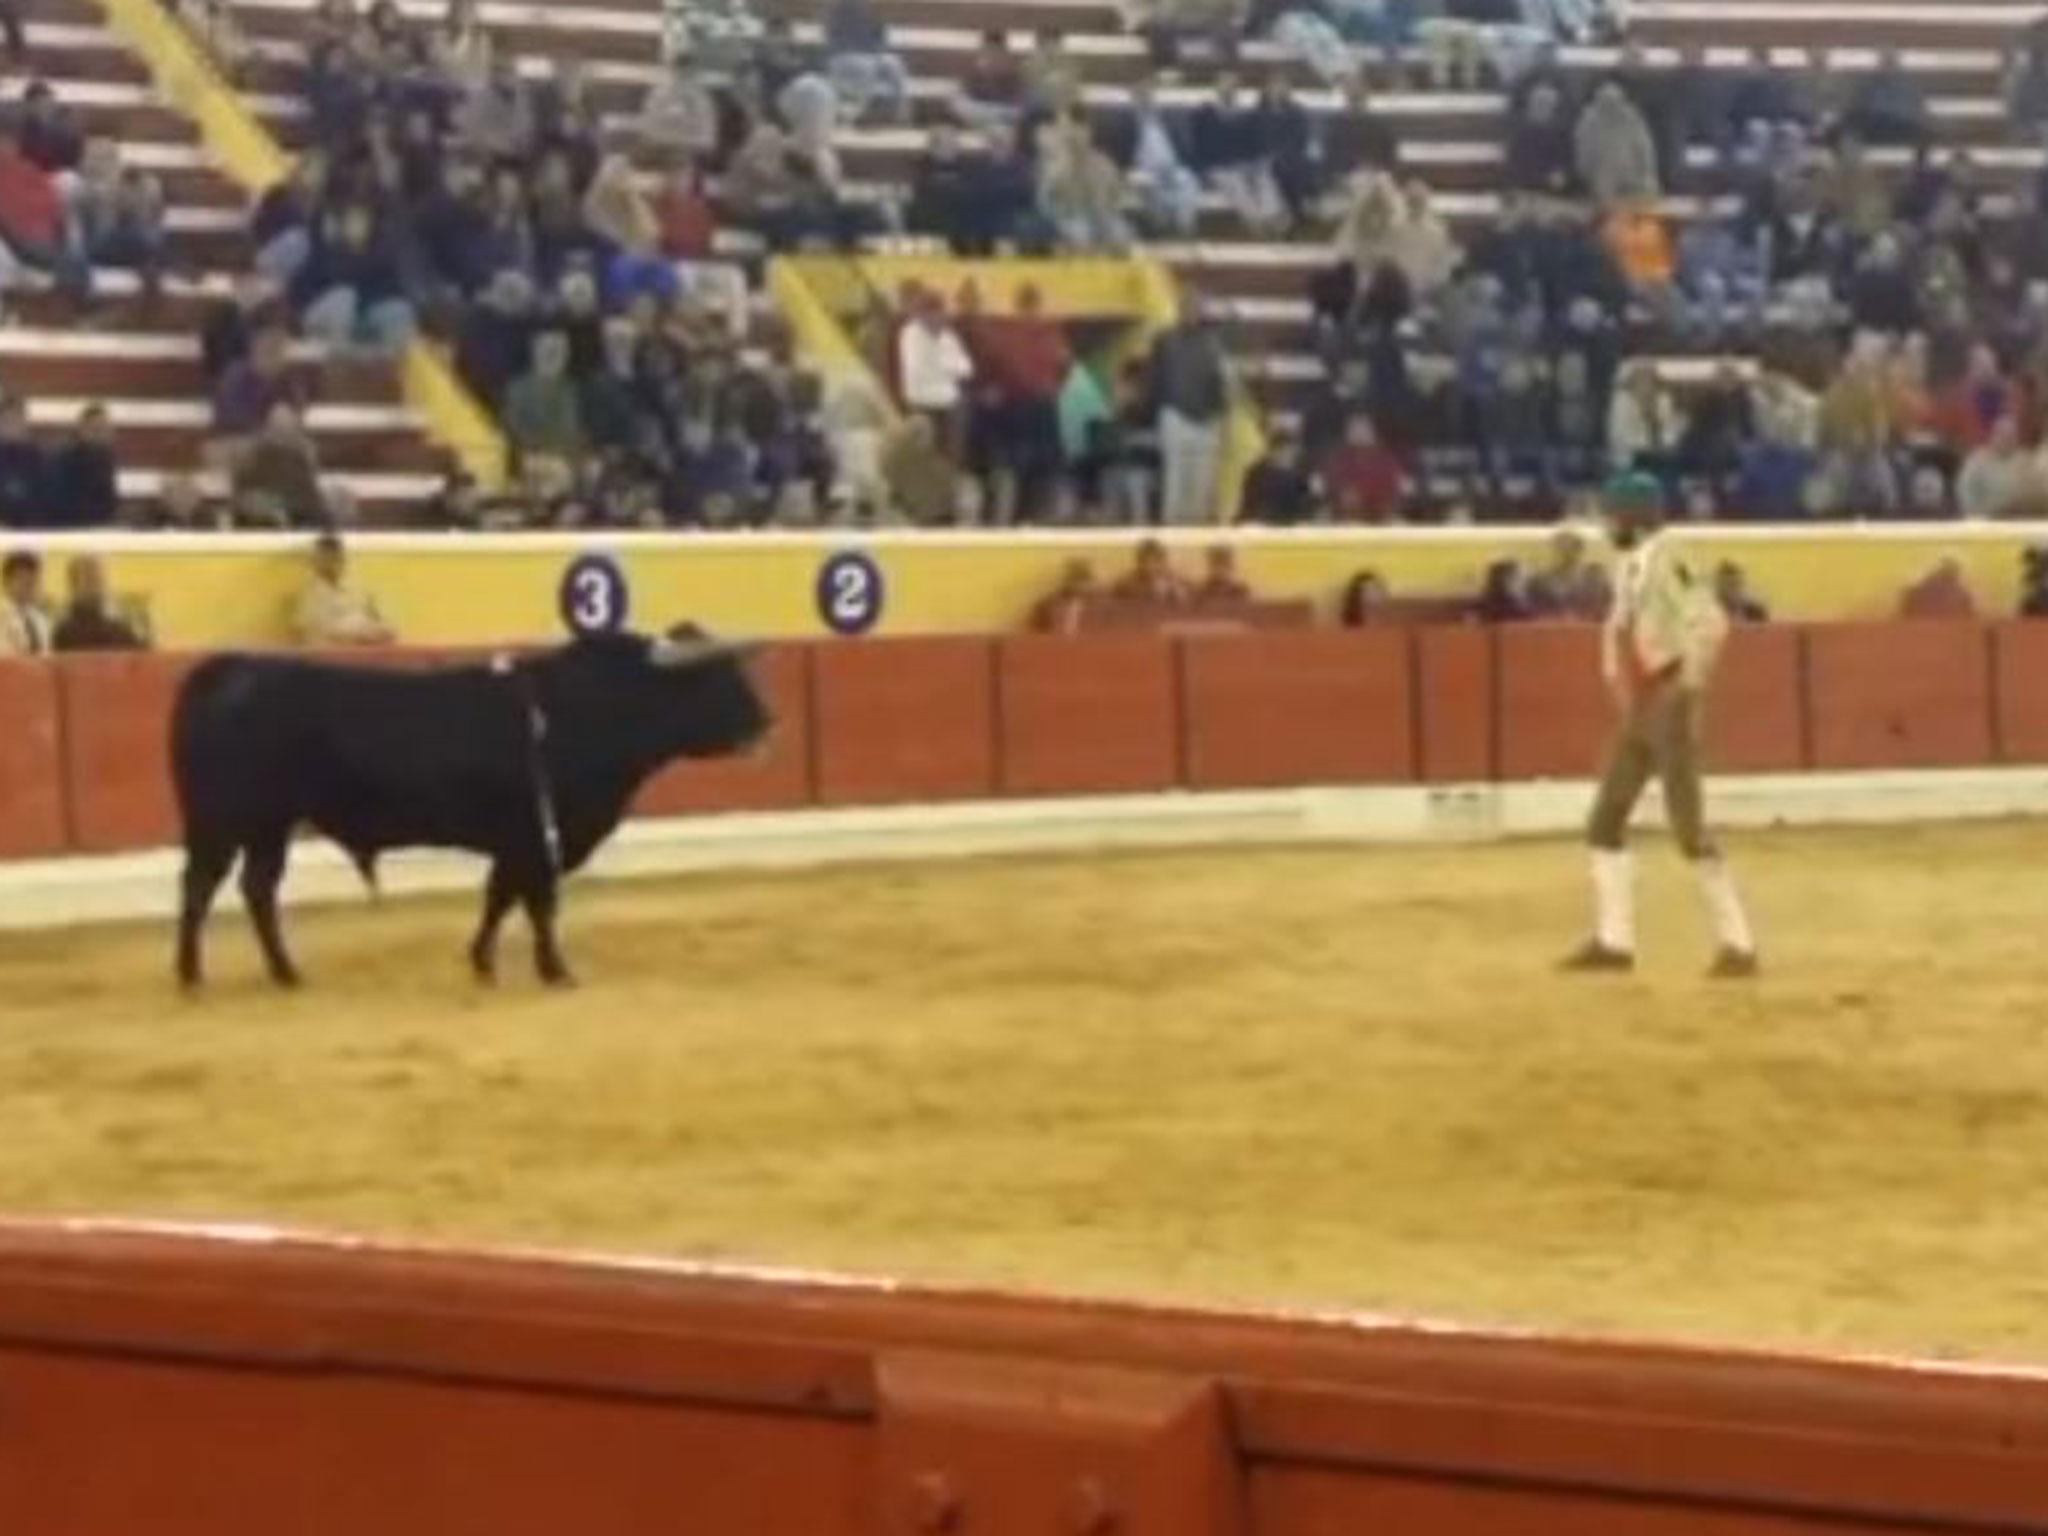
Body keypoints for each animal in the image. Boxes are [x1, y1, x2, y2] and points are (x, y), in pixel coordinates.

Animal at [167, 630, 770, 991]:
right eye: (718, 680)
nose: (767, 723)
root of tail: (230, 668)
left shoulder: (518, 842)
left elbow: (499, 898)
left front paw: (482, 961)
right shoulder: (537, 837)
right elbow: (536, 904)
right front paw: (555, 970)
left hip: (270, 825)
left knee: (256, 888)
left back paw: (283, 971)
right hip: (225, 818)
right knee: (202, 886)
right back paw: (192, 974)